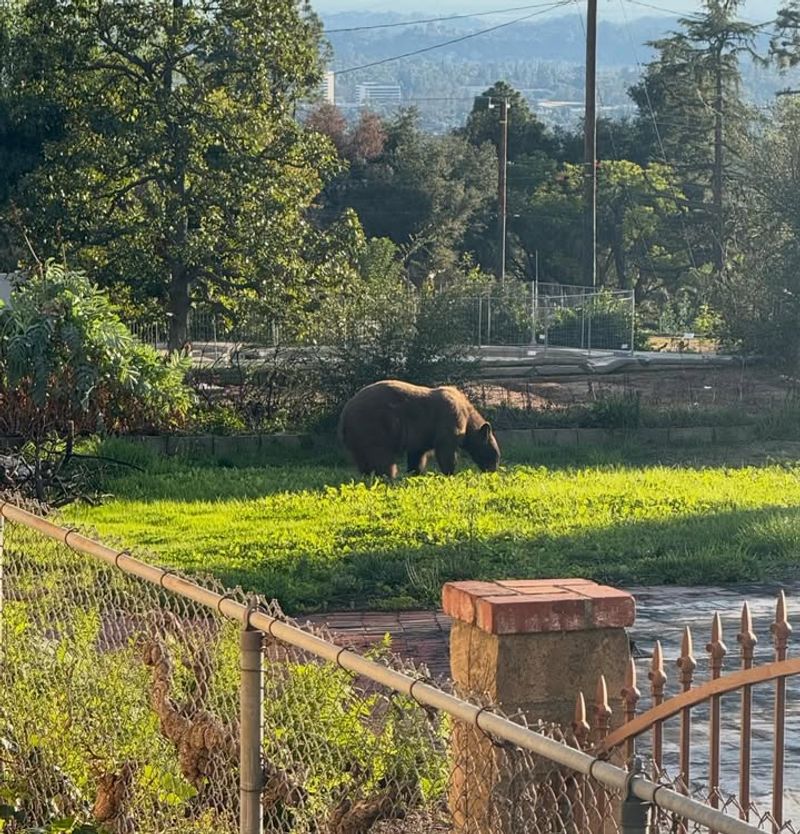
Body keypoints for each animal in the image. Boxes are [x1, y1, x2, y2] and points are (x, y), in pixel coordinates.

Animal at [338, 379, 501, 478]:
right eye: (494, 456)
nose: (493, 471)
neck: (467, 417)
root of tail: (344, 415)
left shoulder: (421, 435)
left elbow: (417, 455)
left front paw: (415, 473)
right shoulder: (449, 420)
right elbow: (446, 450)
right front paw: (450, 473)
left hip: (359, 435)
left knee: (363, 460)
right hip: (375, 426)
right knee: (381, 458)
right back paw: (389, 477)